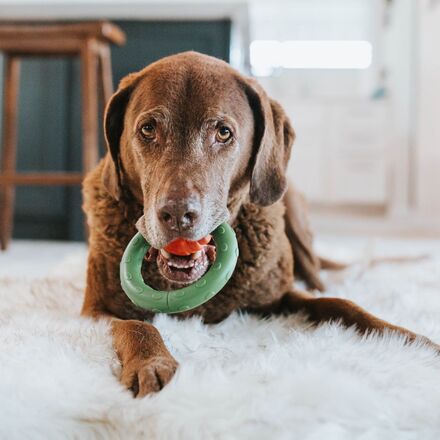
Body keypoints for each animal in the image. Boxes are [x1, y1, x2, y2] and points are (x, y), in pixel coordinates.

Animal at [82, 52, 436, 398]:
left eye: (223, 132)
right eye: (148, 129)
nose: (178, 215)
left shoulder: (277, 298)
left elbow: (342, 305)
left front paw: (412, 340)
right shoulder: (96, 311)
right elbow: (136, 326)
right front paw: (152, 364)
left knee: (319, 278)